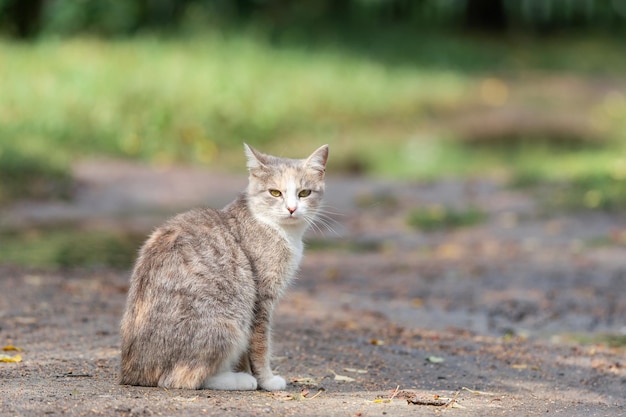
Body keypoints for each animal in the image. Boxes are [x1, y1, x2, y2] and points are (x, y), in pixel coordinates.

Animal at [119, 142, 330, 390]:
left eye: (304, 193)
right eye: (275, 193)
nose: (291, 209)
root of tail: (131, 373)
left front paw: (248, 371)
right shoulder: (260, 301)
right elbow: (260, 345)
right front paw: (266, 380)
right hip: (228, 322)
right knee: (179, 379)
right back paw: (238, 380)